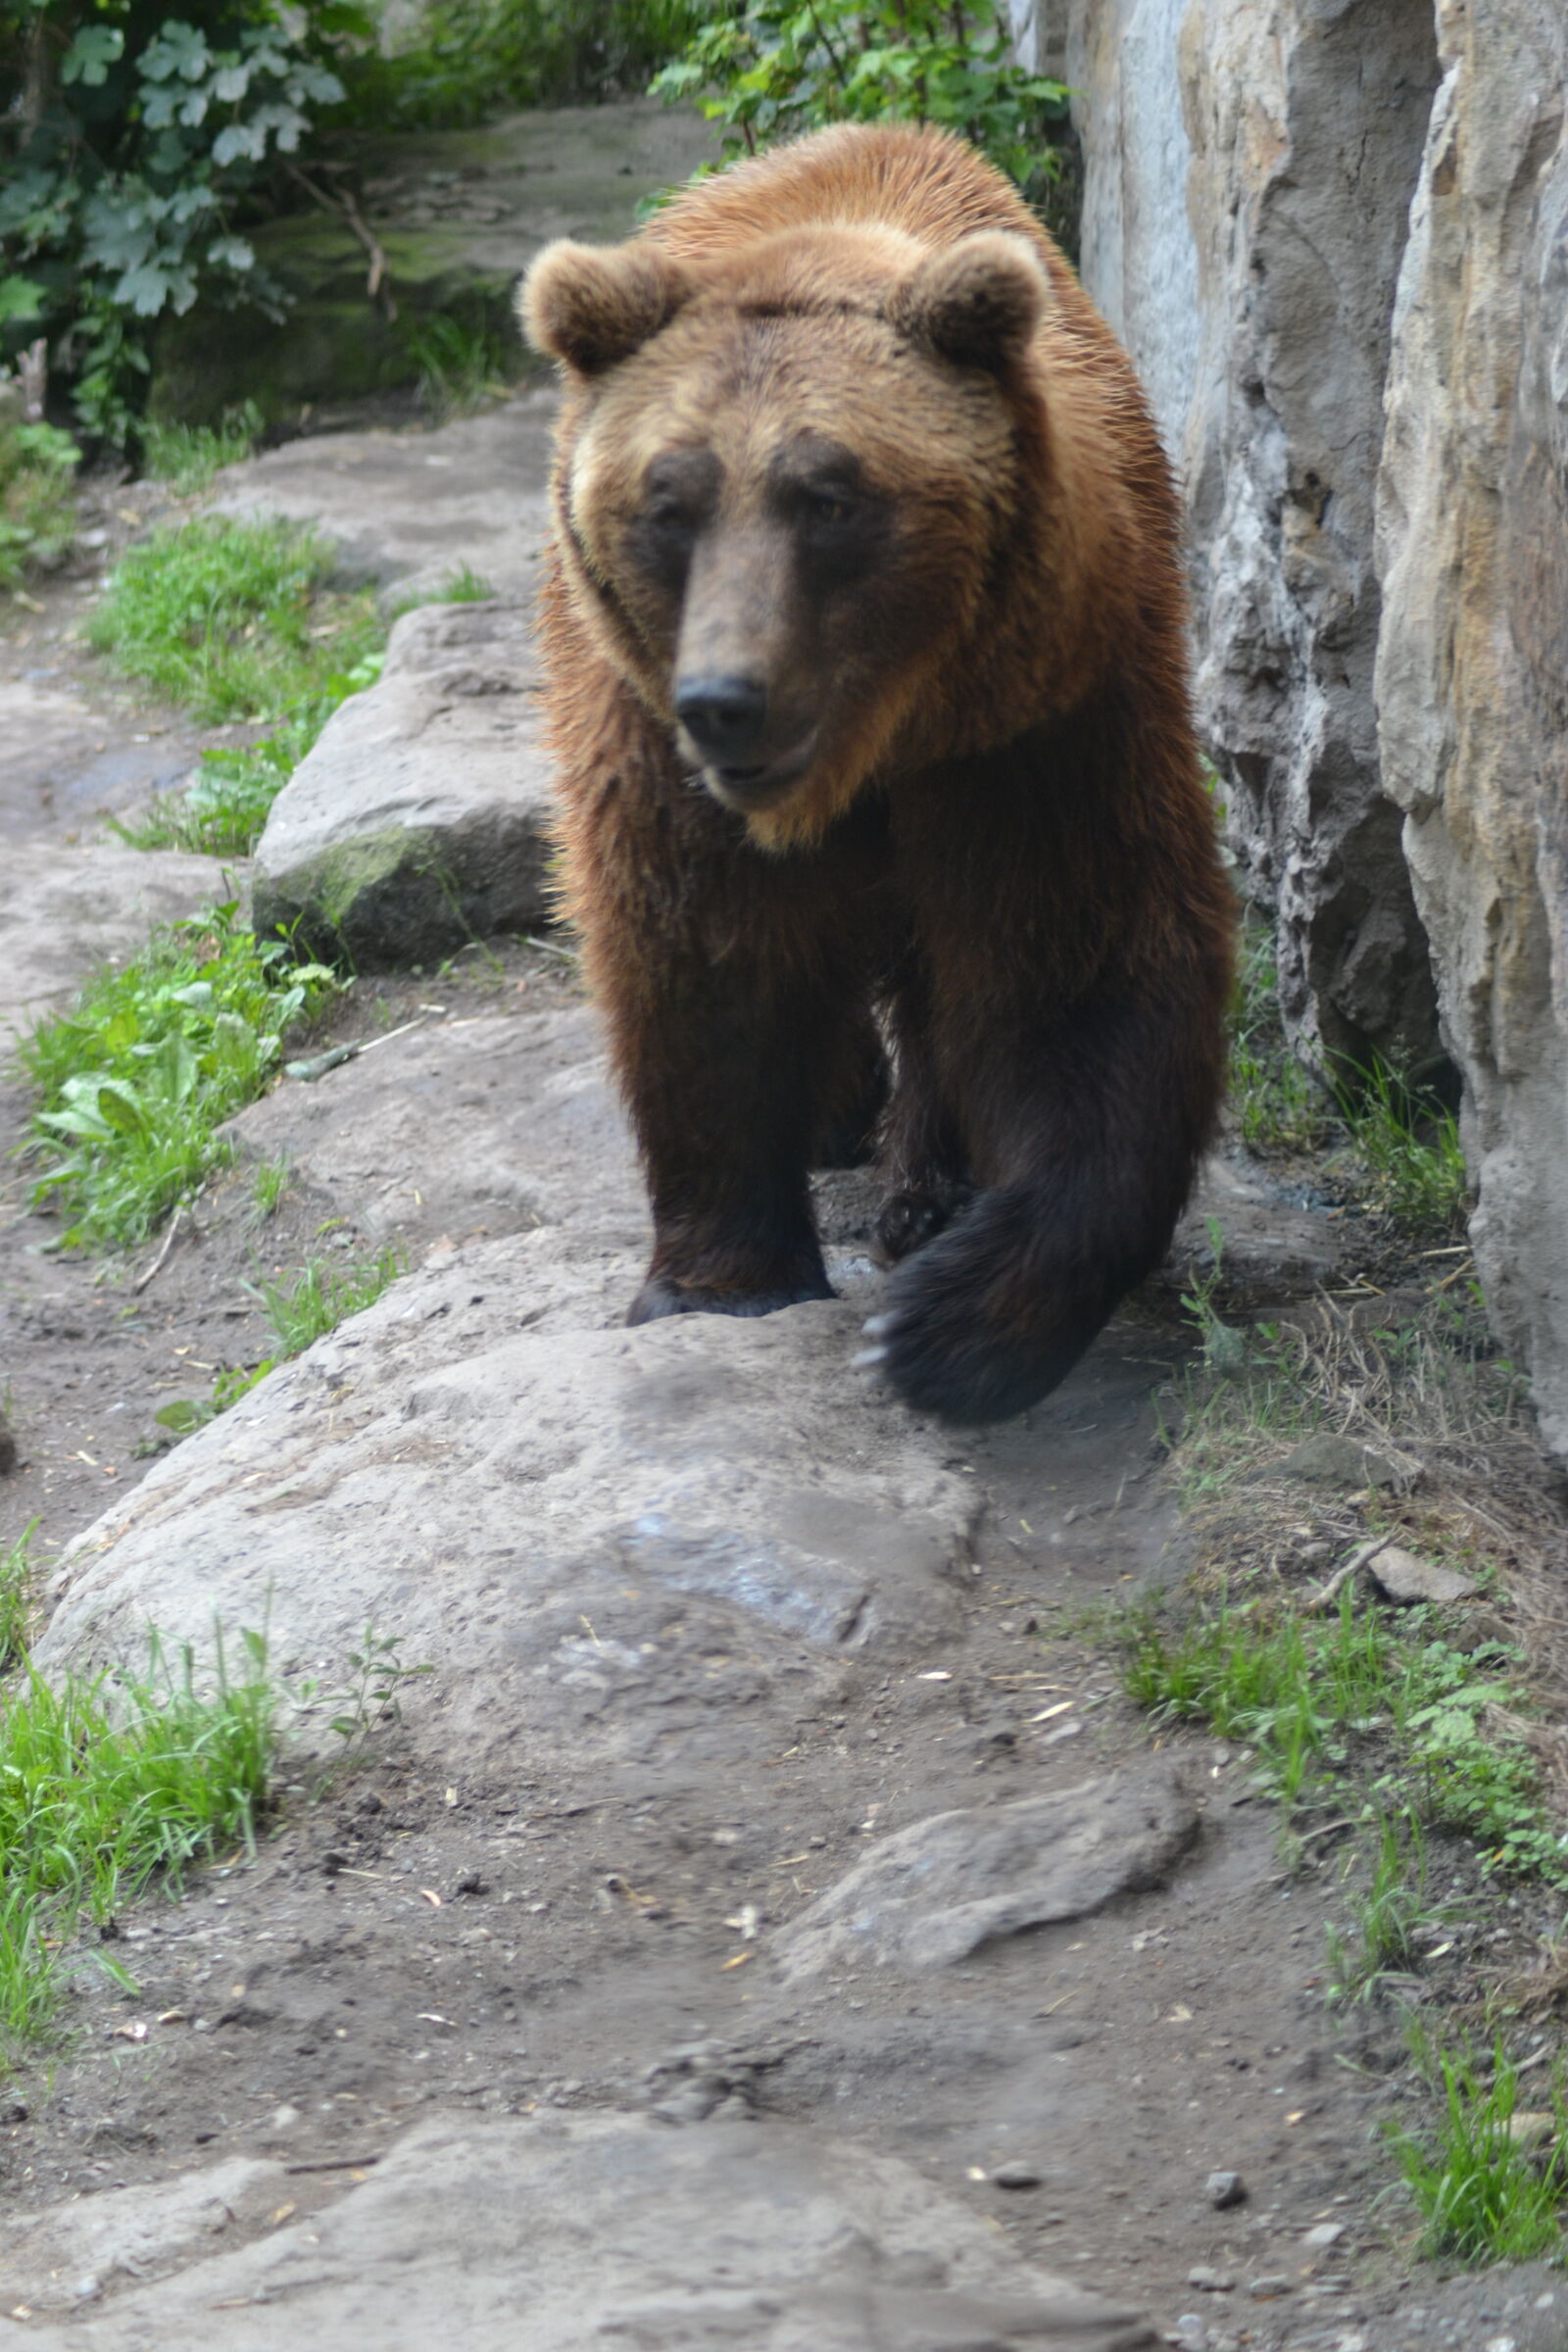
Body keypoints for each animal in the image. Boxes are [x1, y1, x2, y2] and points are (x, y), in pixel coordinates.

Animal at [518, 121, 1234, 1426]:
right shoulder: (649, 743)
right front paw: (720, 1279)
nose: (725, 701)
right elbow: (704, 960)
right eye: (667, 501)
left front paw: (953, 1321)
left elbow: (1079, 971)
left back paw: (922, 1185)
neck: (877, 743)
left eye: (829, 495)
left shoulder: (1035, 722)